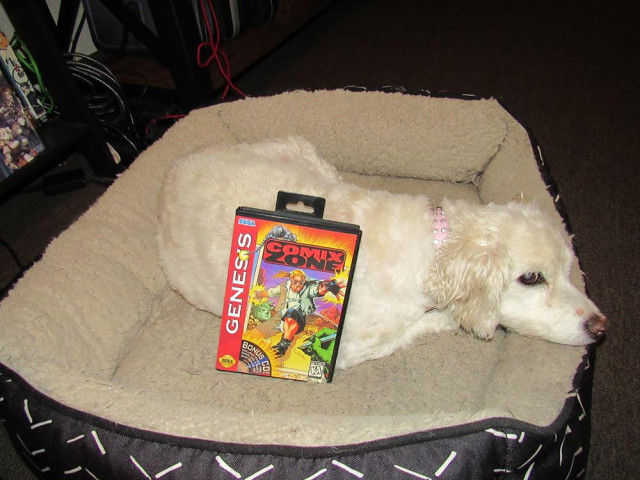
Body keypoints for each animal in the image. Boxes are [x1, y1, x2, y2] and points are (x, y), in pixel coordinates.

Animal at [158, 137, 608, 370]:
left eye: (569, 269)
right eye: (531, 278)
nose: (601, 327)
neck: (434, 246)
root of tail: (174, 170)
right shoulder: (350, 346)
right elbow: (414, 329)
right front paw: (449, 320)